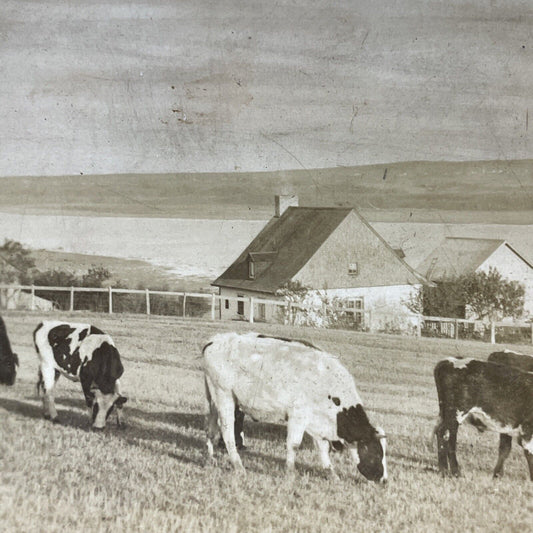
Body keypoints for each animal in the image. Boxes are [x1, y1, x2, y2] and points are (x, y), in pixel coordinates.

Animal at [202, 330, 384, 480]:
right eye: (376, 454)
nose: (384, 480)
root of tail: (216, 340)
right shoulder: (298, 415)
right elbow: (294, 444)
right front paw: (290, 472)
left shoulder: (316, 421)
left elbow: (323, 447)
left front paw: (331, 473)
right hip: (224, 395)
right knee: (227, 431)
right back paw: (238, 466)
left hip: (214, 399)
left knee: (210, 428)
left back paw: (211, 458)